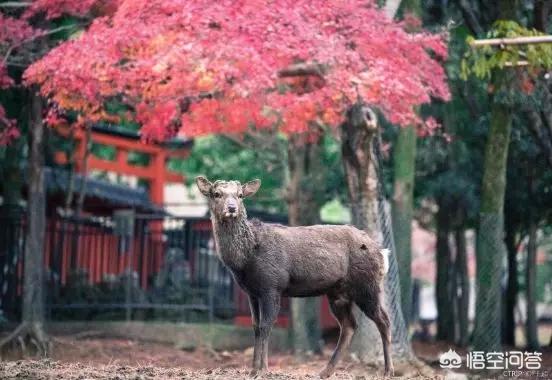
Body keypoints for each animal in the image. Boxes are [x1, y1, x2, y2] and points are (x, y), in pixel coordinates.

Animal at [194, 177, 392, 378]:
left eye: (240, 195)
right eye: (216, 194)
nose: (232, 208)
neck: (244, 260)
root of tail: (381, 252)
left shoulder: (272, 285)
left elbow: (266, 325)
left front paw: (263, 369)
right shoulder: (251, 292)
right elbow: (256, 326)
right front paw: (252, 370)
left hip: (366, 284)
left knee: (384, 320)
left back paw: (388, 370)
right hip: (338, 292)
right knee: (349, 325)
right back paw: (324, 371)